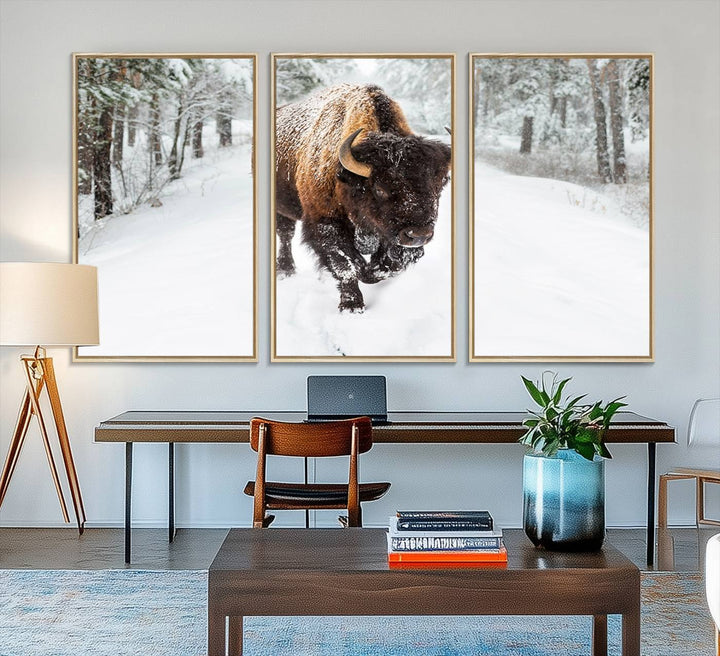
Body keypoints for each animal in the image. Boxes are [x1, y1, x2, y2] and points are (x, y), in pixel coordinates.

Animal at [276, 83, 450, 314]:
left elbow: (388, 266)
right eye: (380, 189)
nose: (419, 235)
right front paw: (351, 306)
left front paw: (369, 271)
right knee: (285, 234)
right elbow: (346, 265)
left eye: (440, 185)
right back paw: (285, 270)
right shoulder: (325, 223)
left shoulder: (391, 236)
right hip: (279, 207)